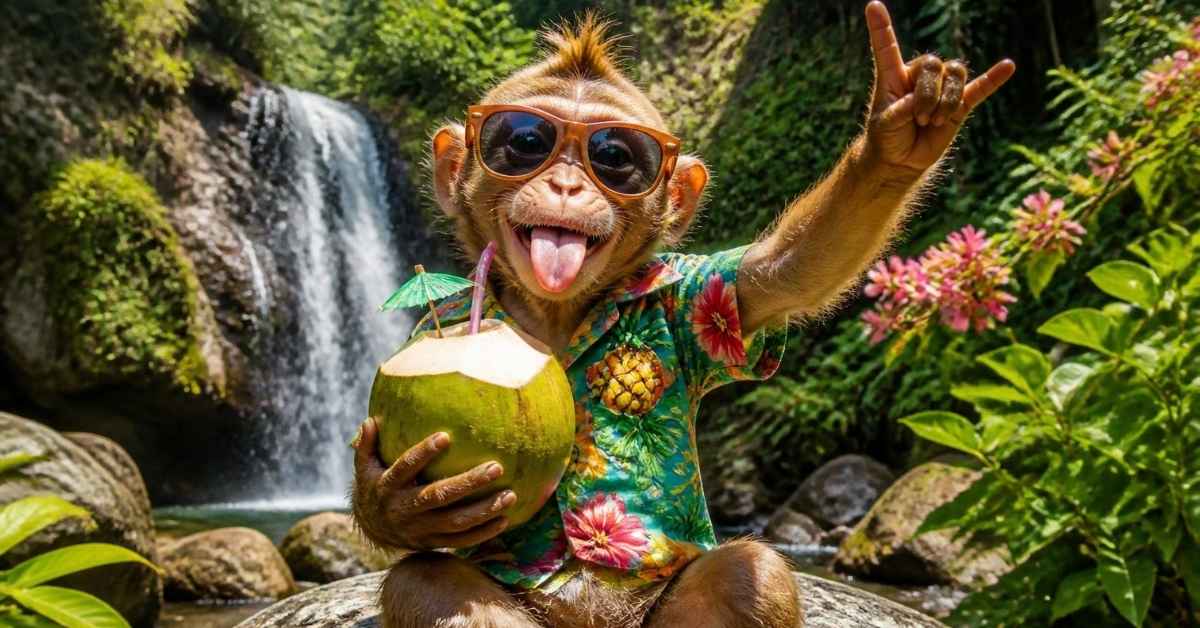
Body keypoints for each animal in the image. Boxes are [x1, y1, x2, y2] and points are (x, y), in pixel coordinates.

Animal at [350, 3, 1014, 627]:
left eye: (615, 158)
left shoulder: (704, 293)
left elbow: (794, 267)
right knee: (428, 581)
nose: (566, 184)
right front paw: (394, 501)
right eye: (524, 142)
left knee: (747, 575)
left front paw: (902, 132)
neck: (558, 314)